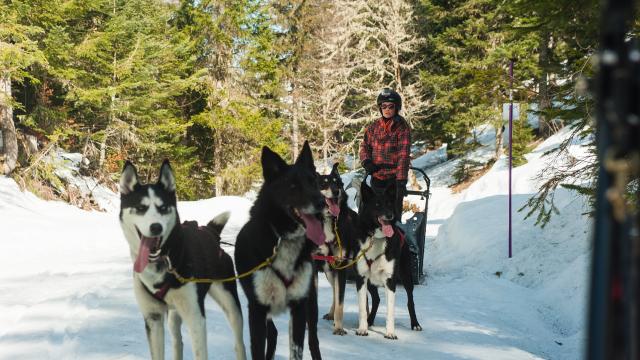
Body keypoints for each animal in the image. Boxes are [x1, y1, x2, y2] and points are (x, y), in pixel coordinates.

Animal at [234, 142, 324, 358]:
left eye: (314, 182)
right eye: (293, 186)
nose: (322, 202)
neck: (284, 238)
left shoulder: (299, 307)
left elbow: (297, 350)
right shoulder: (257, 310)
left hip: (311, 305)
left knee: (313, 340)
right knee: (273, 333)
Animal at [356, 181, 420, 338]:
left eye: (390, 203)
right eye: (377, 204)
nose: (390, 215)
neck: (377, 239)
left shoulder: (390, 280)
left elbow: (390, 310)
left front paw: (390, 333)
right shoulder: (361, 278)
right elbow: (362, 307)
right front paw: (362, 328)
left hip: (406, 276)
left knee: (410, 301)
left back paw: (415, 324)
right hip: (371, 281)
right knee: (376, 299)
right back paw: (369, 321)